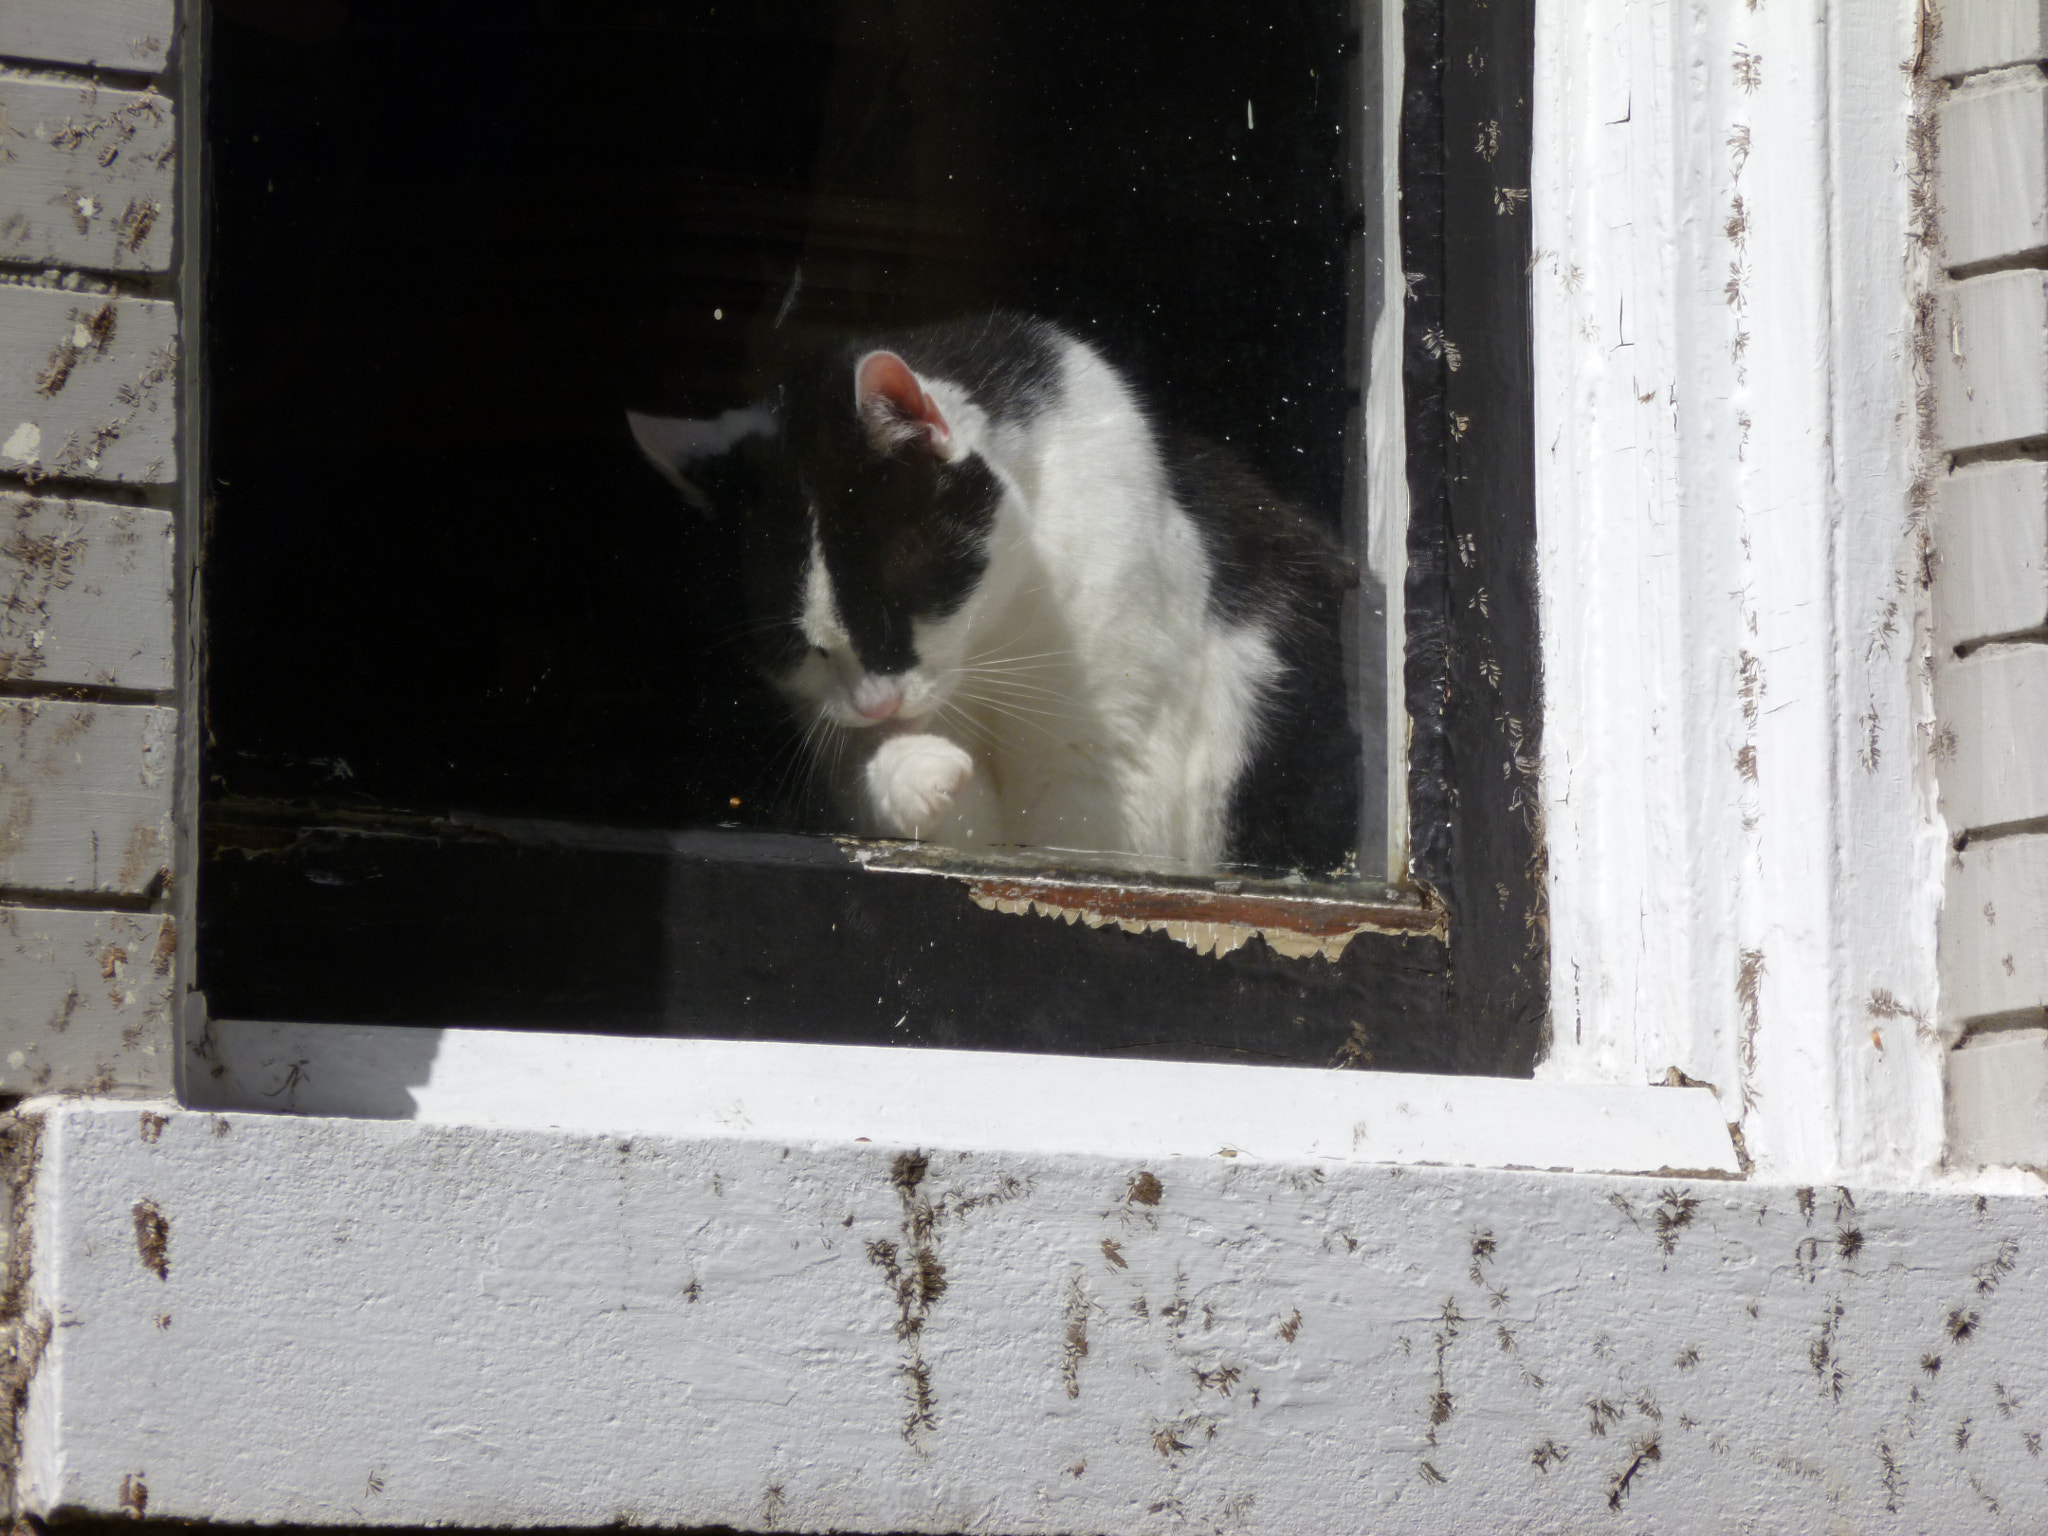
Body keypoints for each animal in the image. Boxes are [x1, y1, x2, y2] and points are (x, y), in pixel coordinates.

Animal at [626, 313, 1359, 876]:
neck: (993, 642)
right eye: (798, 647)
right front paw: (917, 773)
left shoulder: (1112, 780)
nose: (876, 704)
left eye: (898, 605)